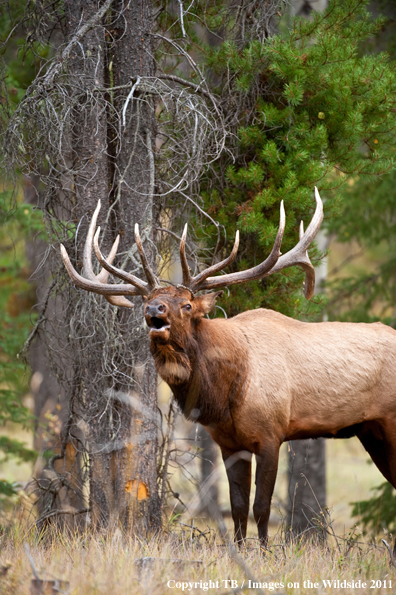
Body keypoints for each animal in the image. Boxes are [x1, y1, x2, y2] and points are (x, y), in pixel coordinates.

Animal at [60, 191, 396, 548]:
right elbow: (236, 506)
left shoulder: (271, 434)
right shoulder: (229, 443)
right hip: (370, 431)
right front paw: (238, 549)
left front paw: (264, 552)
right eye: (145, 300)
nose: (154, 309)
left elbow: (261, 506)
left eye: (187, 305)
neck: (227, 393)